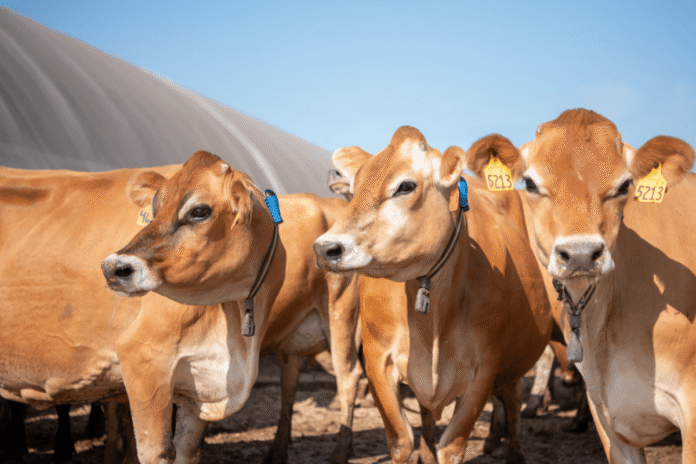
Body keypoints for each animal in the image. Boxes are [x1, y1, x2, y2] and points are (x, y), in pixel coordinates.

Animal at [101, 150, 362, 464]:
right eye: (154, 208)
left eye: (199, 211)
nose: (114, 268)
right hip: (293, 339)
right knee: (290, 382)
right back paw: (277, 451)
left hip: (341, 314)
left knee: (348, 378)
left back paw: (341, 451)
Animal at [313, 126, 554, 464]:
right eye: (356, 186)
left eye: (405, 186)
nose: (325, 248)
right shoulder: (377, 360)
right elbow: (401, 441)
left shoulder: (485, 368)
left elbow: (452, 447)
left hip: (511, 367)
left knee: (512, 398)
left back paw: (512, 450)